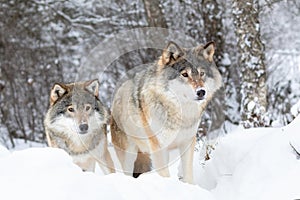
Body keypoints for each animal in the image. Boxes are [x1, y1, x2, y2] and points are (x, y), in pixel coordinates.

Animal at [110, 41, 223, 184]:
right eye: (184, 74)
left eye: (201, 73)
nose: (201, 92)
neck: (180, 114)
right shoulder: (159, 147)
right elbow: (165, 175)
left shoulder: (187, 143)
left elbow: (188, 174)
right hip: (129, 155)